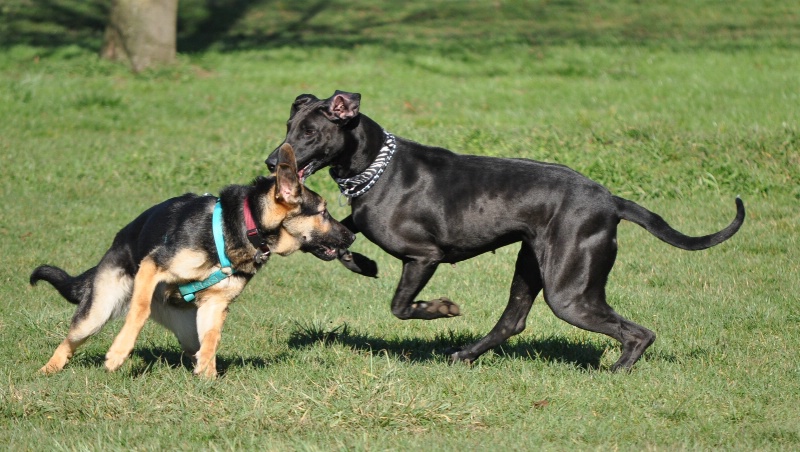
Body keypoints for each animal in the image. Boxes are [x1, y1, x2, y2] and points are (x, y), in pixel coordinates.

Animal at [30, 145, 354, 378]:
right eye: (323, 212)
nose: (351, 236)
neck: (241, 227)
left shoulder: (215, 304)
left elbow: (211, 338)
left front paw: (208, 377)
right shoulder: (152, 267)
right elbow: (139, 310)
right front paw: (118, 354)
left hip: (185, 330)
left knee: (194, 345)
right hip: (98, 310)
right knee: (71, 340)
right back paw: (47, 370)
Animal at [264, 92, 744, 370]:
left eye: (310, 132)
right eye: (288, 127)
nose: (271, 162)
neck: (375, 169)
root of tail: (612, 202)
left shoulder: (424, 257)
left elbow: (401, 306)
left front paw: (441, 308)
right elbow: (337, 235)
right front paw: (356, 260)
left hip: (569, 293)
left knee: (638, 333)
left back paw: (615, 372)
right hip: (531, 268)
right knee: (512, 321)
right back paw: (464, 355)